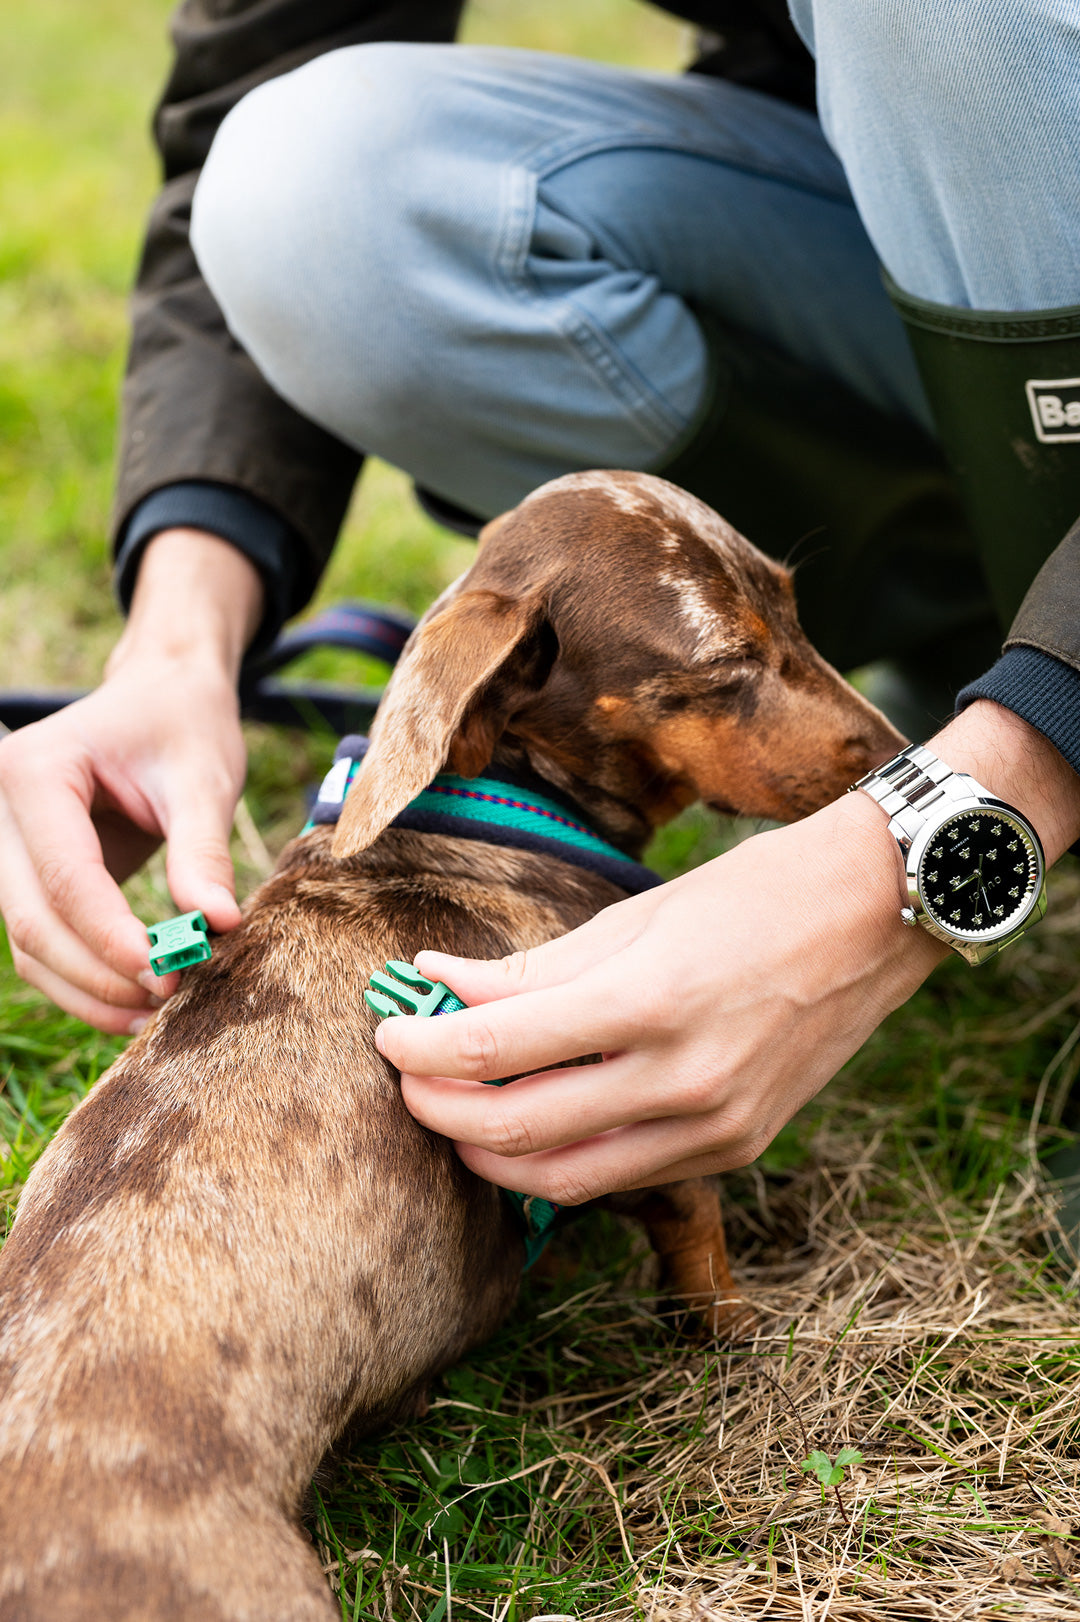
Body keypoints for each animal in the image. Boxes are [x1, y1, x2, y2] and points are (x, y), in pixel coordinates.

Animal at [0, 473, 895, 1622]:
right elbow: (696, 1223)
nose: (893, 748)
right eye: (726, 668)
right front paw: (729, 1332)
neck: (496, 810)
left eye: (793, 607)